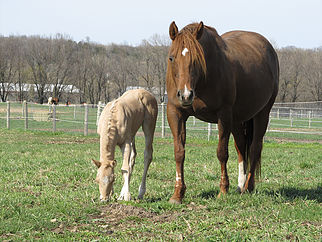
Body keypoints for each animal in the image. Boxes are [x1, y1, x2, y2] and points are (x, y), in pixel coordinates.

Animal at [166, 21, 280, 204]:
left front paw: (223, 190)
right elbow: (179, 153)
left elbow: (222, 153)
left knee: (255, 147)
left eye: (197, 60)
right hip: (237, 120)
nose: (185, 95)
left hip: (262, 113)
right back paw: (241, 185)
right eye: (172, 57)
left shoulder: (223, 115)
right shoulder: (175, 113)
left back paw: (248, 186)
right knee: (241, 146)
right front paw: (177, 194)